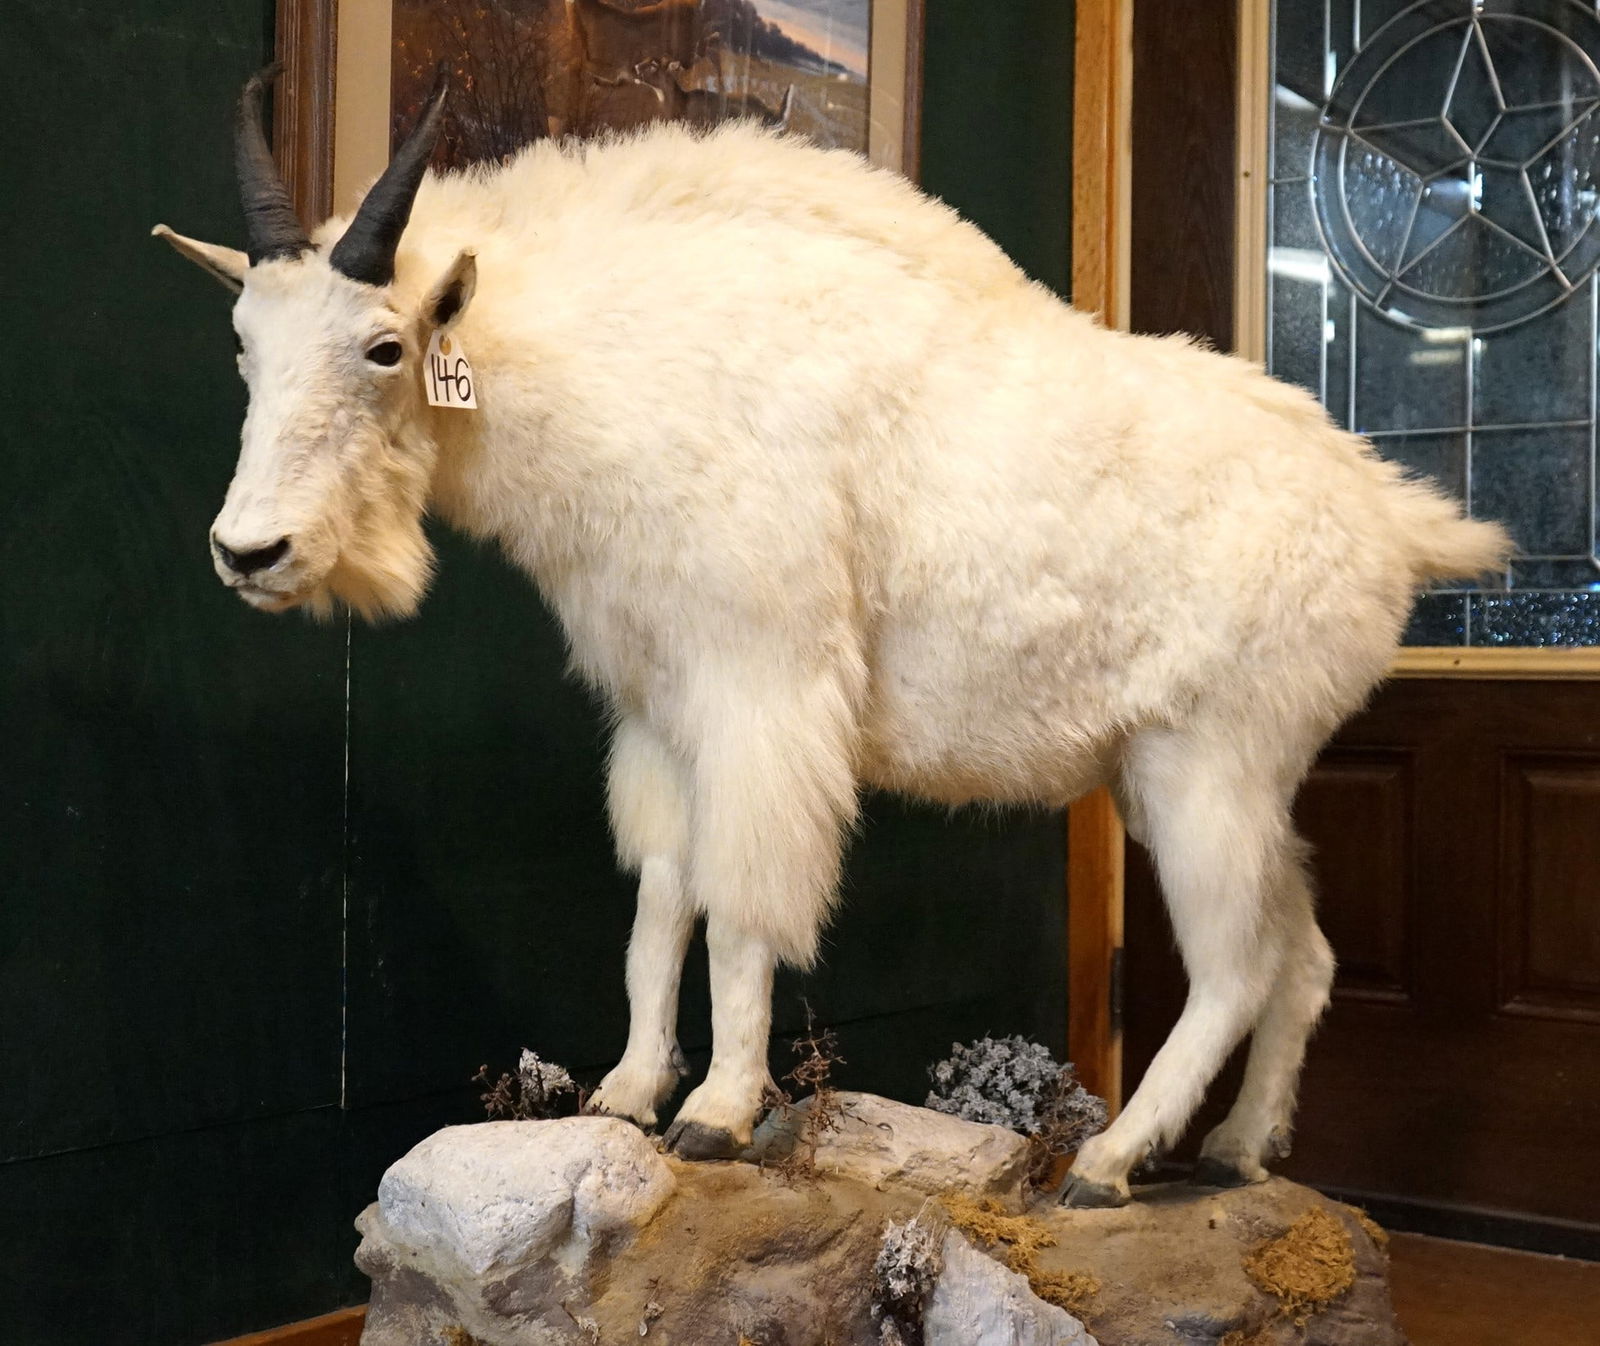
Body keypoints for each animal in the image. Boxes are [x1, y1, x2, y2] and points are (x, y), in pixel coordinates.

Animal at [154, 70, 1509, 1206]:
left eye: (385, 346)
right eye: (243, 344)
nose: (250, 552)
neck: (623, 368)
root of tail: (1390, 521)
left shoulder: (763, 688)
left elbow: (742, 907)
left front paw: (713, 1112)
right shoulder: (661, 710)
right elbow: (661, 905)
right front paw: (626, 1090)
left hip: (1207, 764)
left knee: (1233, 962)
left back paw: (1111, 1161)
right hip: (1197, 774)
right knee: (1305, 949)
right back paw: (1237, 1148)